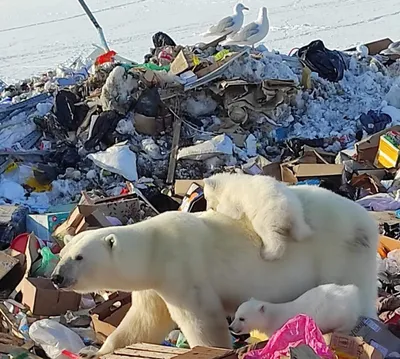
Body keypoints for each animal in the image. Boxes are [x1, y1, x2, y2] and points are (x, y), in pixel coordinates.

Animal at [50, 184, 378, 358]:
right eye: (62, 255)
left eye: (79, 257)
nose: (56, 277)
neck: (154, 247)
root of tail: (367, 222)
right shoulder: (155, 287)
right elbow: (143, 324)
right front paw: (95, 351)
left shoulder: (182, 269)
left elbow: (202, 321)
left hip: (339, 256)